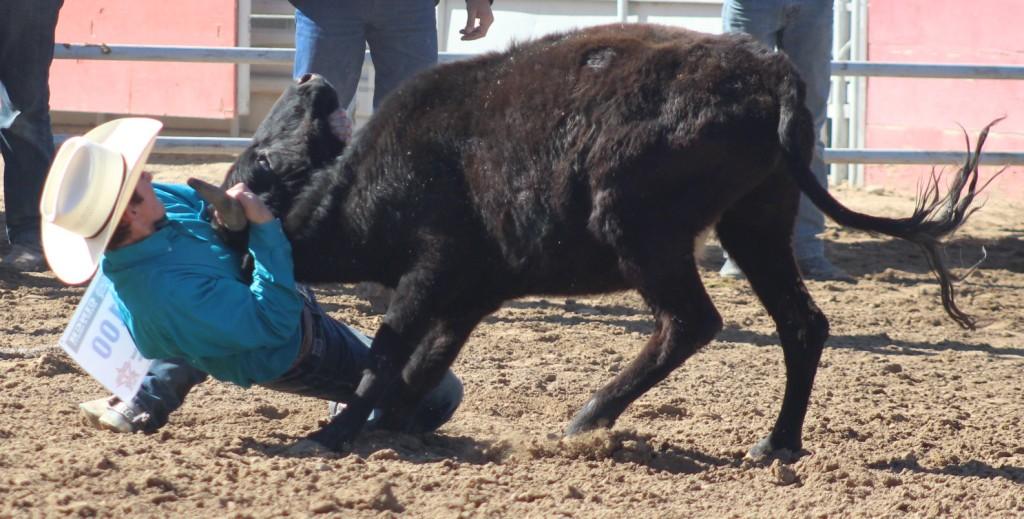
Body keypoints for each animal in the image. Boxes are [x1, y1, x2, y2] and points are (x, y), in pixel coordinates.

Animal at [191, 23, 996, 457]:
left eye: (259, 161)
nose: (310, 79)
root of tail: (770, 73)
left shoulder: (432, 271)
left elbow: (388, 353)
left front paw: (334, 435)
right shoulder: (467, 292)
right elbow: (421, 364)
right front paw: (394, 425)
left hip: (639, 227)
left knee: (690, 322)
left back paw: (589, 417)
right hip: (756, 223)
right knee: (801, 324)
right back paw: (777, 442)